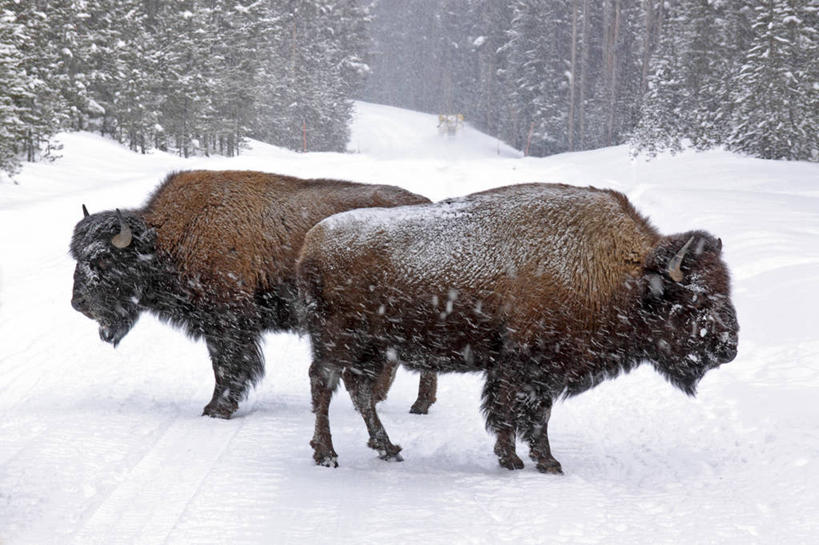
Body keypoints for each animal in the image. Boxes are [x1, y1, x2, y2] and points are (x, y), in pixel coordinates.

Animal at [69, 170, 438, 416]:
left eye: (103, 259)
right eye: (76, 256)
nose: (77, 303)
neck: (166, 238)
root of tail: (427, 203)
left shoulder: (228, 323)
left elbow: (228, 366)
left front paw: (216, 409)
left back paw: (412, 404)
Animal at [298, 184, 740, 472]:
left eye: (726, 289)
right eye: (694, 300)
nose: (728, 347)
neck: (619, 273)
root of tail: (310, 243)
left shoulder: (543, 373)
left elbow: (537, 415)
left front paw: (545, 461)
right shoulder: (521, 365)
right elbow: (512, 411)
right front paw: (515, 460)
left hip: (371, 348)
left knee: (359, 392)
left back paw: (388, 448)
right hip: (337, 342)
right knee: (324, 386)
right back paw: (327, 455)